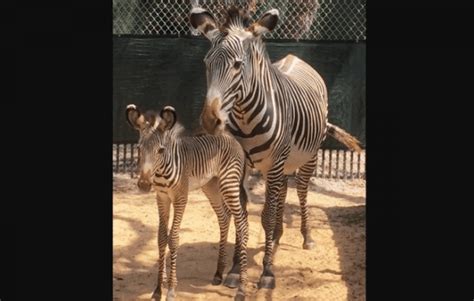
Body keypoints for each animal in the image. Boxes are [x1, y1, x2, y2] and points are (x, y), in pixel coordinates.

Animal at [189, 6, 362, 288]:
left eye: (237, 65)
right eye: (206, 64)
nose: (209, 121)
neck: (245, 117)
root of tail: (295, 58)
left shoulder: (274, 162)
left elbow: (266, 216)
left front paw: (267, 272)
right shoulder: (243, 166)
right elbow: (242, 214)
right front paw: (235, 269)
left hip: (306, 157)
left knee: (300, 191)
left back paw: (306, 237)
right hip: (284, 163)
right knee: (282, 190)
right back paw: (279, 234)